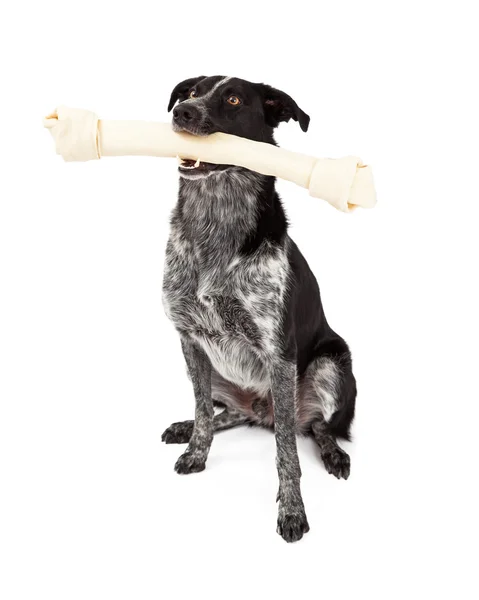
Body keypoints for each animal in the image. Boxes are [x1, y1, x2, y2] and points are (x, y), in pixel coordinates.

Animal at [161, 76, 356, 544]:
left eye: (233, 99)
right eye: (189, 91)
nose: (182, 112)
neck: (215, 219)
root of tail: (258, 410)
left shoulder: (279, 355)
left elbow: (287, 449)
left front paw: (292, 510)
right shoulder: (189, 338)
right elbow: (203, 412)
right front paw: (195, 448)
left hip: (330, 364)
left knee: (317, 426)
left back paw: (333, 453)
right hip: (211, 370)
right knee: (226, 411)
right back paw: (187, 426)